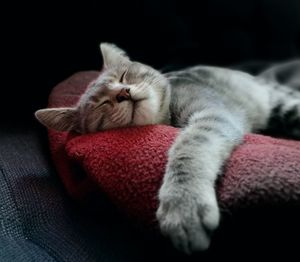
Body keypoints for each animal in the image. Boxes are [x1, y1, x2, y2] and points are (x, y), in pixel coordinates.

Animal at [35, 43, 300, 254]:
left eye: (124, 76)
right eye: (100, 104)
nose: (123, 93)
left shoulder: (213, 116)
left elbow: (188, 148)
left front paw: (183, 205)